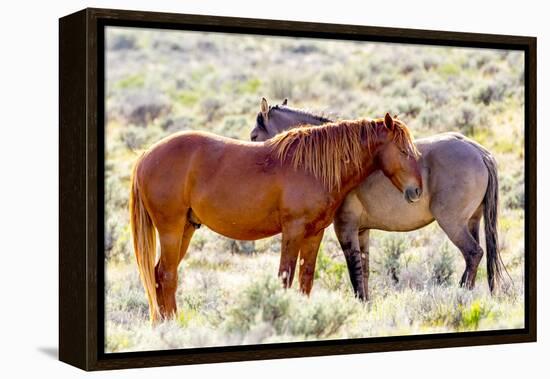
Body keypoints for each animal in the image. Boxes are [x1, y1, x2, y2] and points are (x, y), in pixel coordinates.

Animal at [129, 113, 422, 324]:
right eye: (403, 151)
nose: (416, 191)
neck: (312, 167)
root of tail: (145, 155)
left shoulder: (314, 233)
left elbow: (306, 278)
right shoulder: (293, 230)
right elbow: (285, 277)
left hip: (186, 229)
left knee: (159, 274)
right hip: (171, 229)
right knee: (167, 275)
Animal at [250, 98, 508, 302]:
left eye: (254, 136)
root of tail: (479, 152)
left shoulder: (345, 228)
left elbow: (354, 271)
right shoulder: (362, 231)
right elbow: (363, 271)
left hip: (452, 223)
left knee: (473, 254)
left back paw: (460, 294)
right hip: (472, 221)